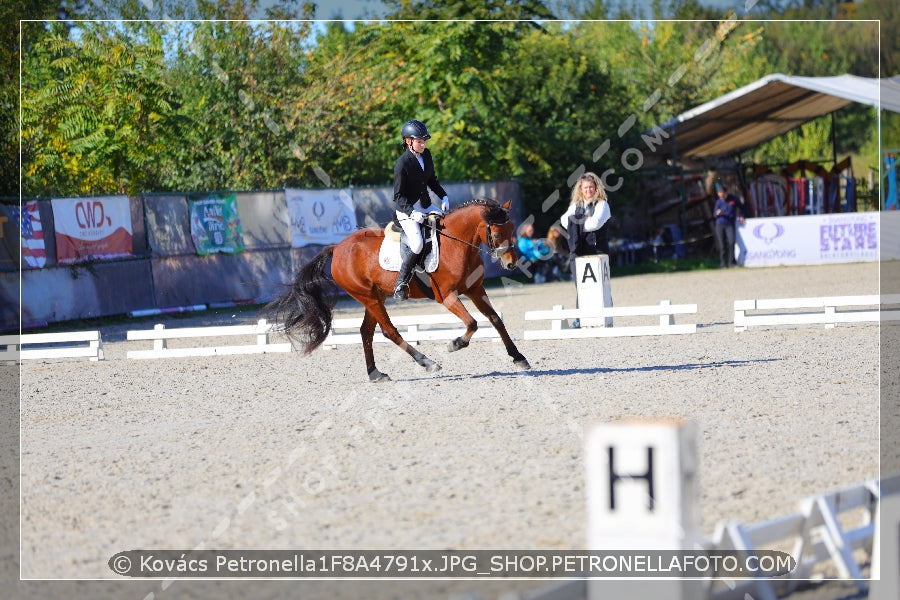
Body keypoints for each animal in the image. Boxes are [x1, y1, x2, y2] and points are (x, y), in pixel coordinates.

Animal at [270, 199, 532, 382]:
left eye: (512, 229)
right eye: (496, 233)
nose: (510, 264)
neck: (457, 244)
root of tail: (338, 247)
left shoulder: (475, 289)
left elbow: (495, 319)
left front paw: (519, 358)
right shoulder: (446, 297)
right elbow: (473, 323)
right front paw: (454, 344)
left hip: (376, 295)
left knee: (366, 331)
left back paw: (376, 374)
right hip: (367, 296)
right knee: (389, 331)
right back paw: (428, 363)